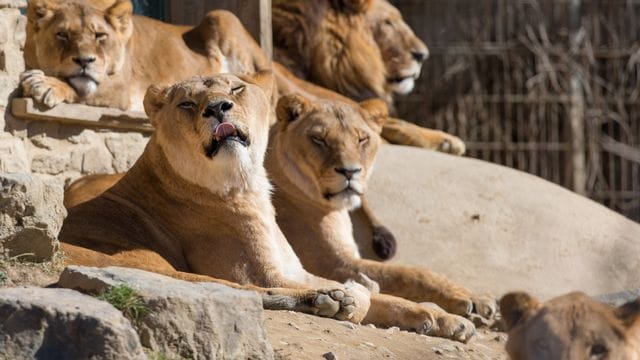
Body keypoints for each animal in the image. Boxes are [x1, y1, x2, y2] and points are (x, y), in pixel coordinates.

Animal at [58, 72, 376, 324]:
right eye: (186, 103)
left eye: (236, 89)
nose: (217, 107)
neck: (247, 183)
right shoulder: (261, 274)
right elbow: (360, 298)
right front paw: (352, 290)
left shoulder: (296, 270)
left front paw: (356, 287)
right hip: (144, 263)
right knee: (240, 290)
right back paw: (329, 299)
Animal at [262, 92, 498, 340]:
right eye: (319, 139)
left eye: (362, 139)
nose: (350, 171)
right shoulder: (333, 263)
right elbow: (410, 273)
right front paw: (468, 298)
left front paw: (461, 311)